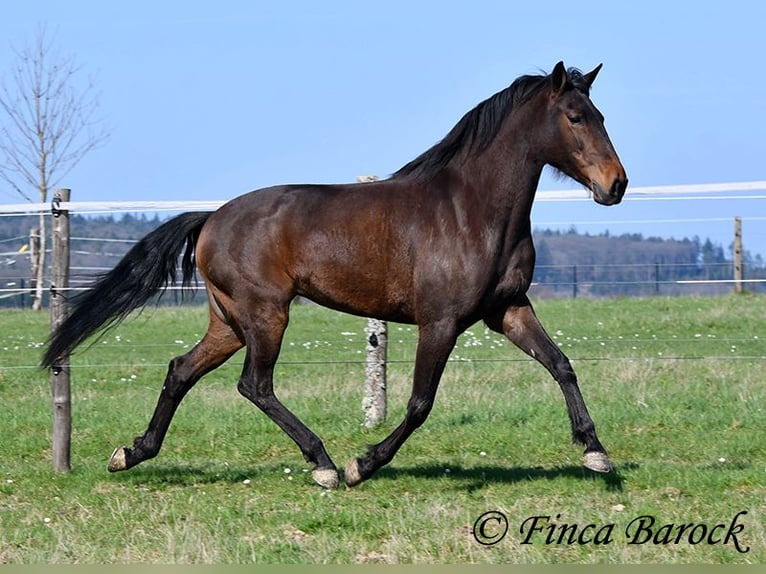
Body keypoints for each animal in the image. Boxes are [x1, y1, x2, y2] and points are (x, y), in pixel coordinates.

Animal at [42, 61, 627, 489]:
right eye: (575, 117)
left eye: (601, 113)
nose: (616, 184)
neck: (473, 211)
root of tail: (211, 218)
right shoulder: (440, 322)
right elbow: (420, 403)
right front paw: (361, 464)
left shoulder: (506, 310)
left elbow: (562, 365)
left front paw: (596, 453)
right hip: (265, 315)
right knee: (254, 385)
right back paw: (322, 463)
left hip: (229, 322)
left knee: (181, 370)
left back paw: (131, 453)